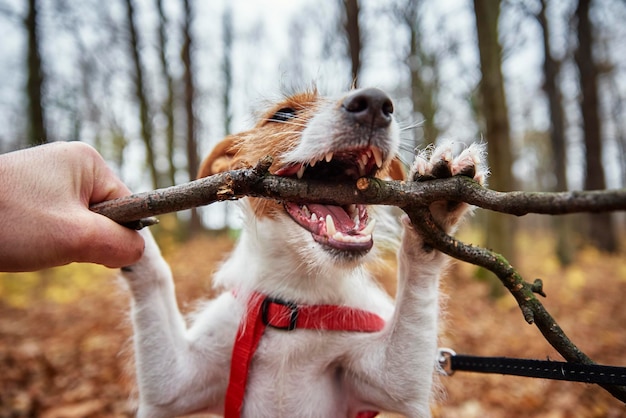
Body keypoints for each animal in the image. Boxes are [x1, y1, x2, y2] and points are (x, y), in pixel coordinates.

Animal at [120, 86, 482, 416]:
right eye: (283, 115)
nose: (376, 102)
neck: (294, 300)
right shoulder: (175, 384)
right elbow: (153, 274)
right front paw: (123, 211)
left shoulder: (392, 380)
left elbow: (417, 283)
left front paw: (435, 201)